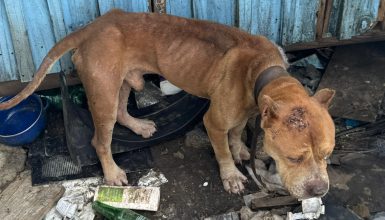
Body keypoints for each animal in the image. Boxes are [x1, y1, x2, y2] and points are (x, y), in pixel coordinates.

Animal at [0, 9, 334, 199]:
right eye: (293, 158)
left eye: (327, 155)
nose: (319, 191)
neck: (263, 71)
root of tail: (92, 27)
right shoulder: (213, 122)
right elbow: (222, 150)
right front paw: (231, 176)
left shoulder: (246, 111)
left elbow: (237, 131)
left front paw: (241, 148)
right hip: (103, 91)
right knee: (100, 139)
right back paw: (112, 173)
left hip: (124, 80)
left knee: (122, 110)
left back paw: (139, 126)